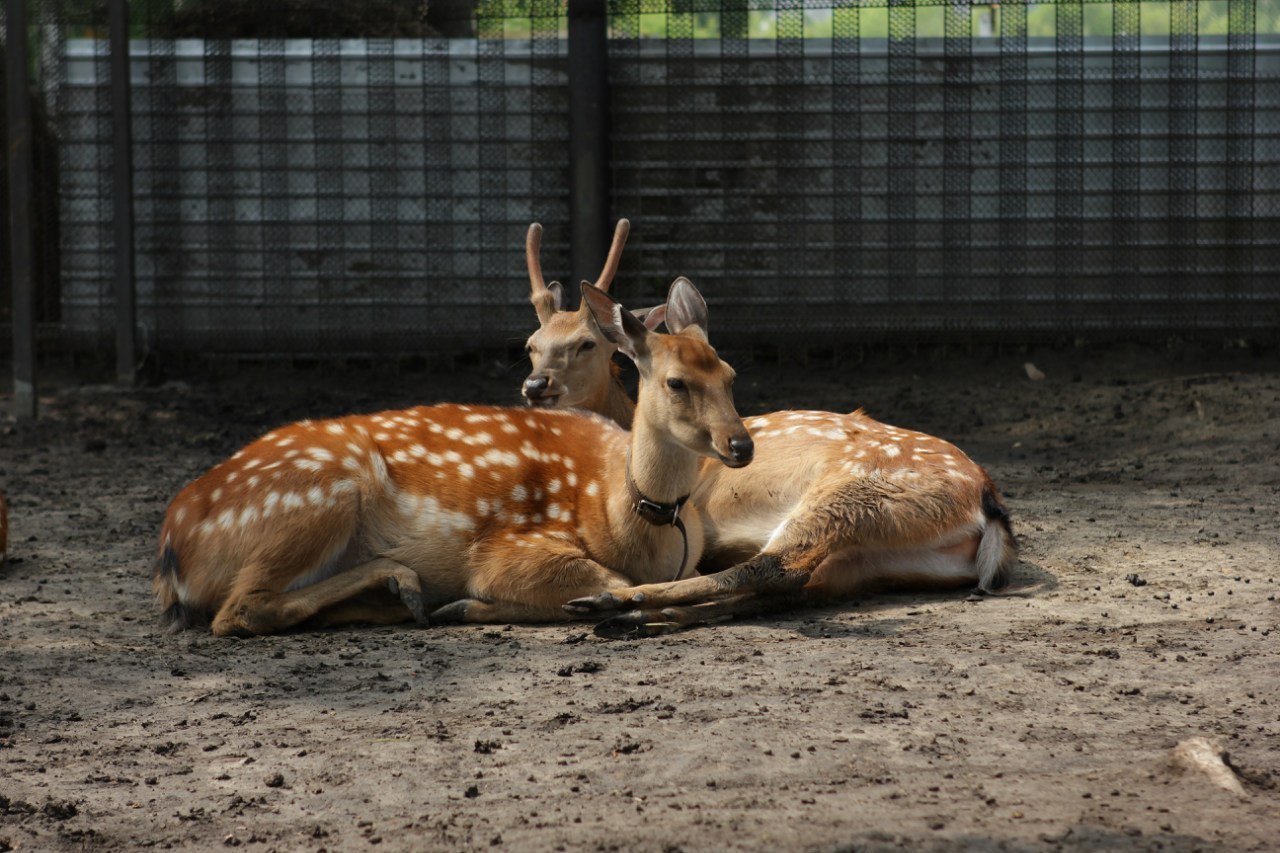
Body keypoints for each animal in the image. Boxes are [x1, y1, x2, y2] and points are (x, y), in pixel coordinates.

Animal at [151, 275, 752, 635]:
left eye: (729, 375)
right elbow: (615, 584)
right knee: (239, 609)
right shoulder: (510, 549)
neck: (618, 507)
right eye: (676, 383)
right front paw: (474, 603)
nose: (741, 444)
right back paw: (404, 583)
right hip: (319, 496)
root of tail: (171, 553)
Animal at [514, 222, 1013, 635]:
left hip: (853, 497)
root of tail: (988, 501)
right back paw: (647, 616)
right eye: (531, 346)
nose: (535, 386)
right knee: (793, 588)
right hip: (877, 559)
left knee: (776, 567)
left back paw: (610, 604)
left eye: (588, 345)